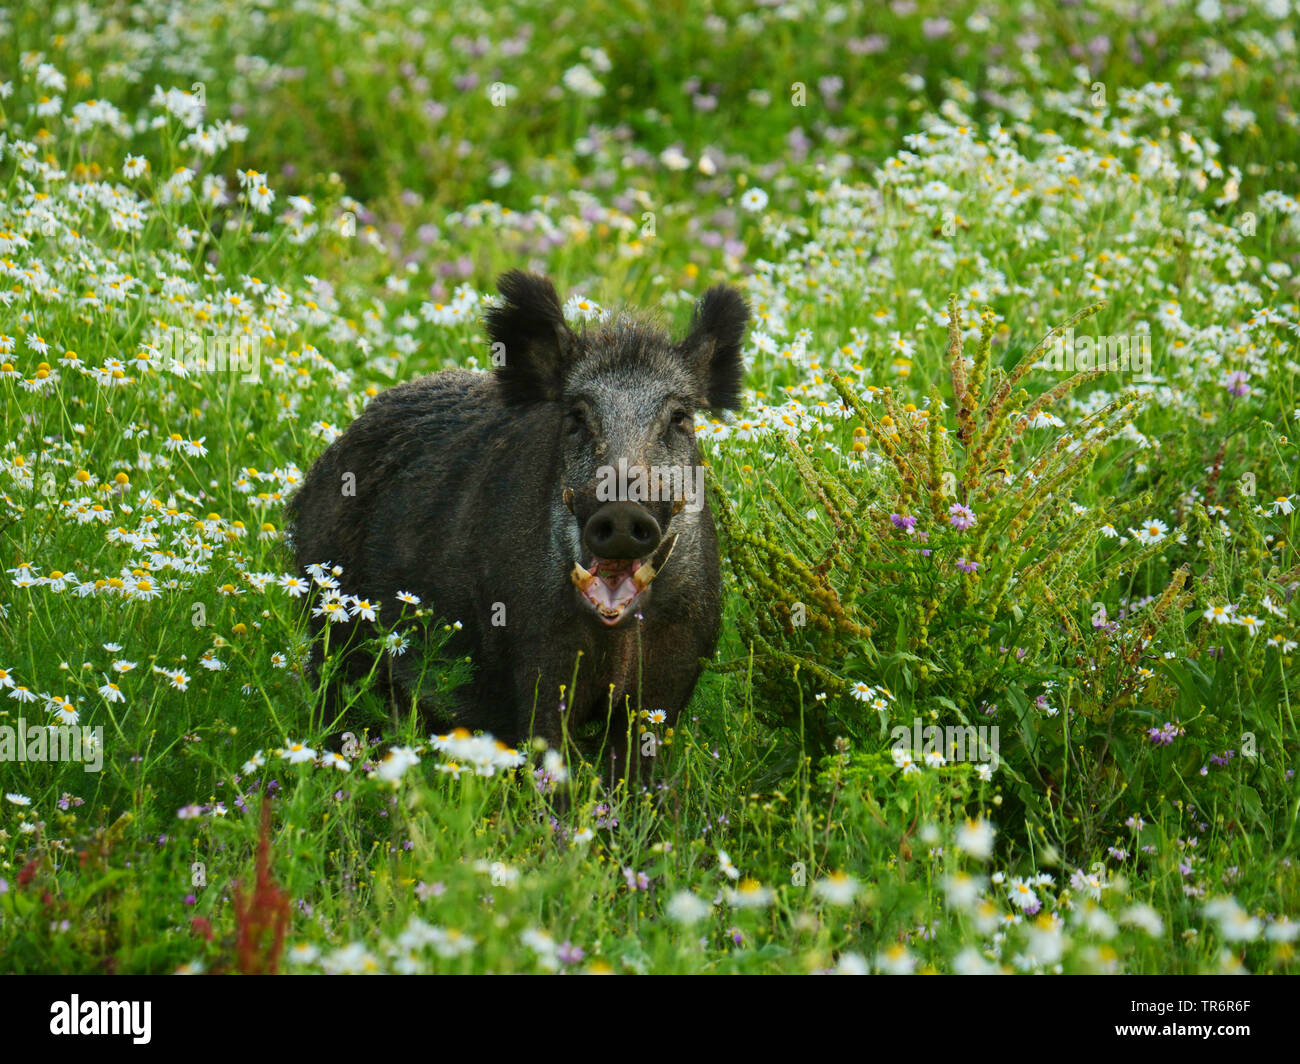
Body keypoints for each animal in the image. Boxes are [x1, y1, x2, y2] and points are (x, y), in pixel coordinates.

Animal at [286, 270, 749, 773]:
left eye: (679, 418)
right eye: (577, 416)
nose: (622, 510)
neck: (617, 637)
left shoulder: (676, 665)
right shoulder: (532, 652)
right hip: (329, 615)